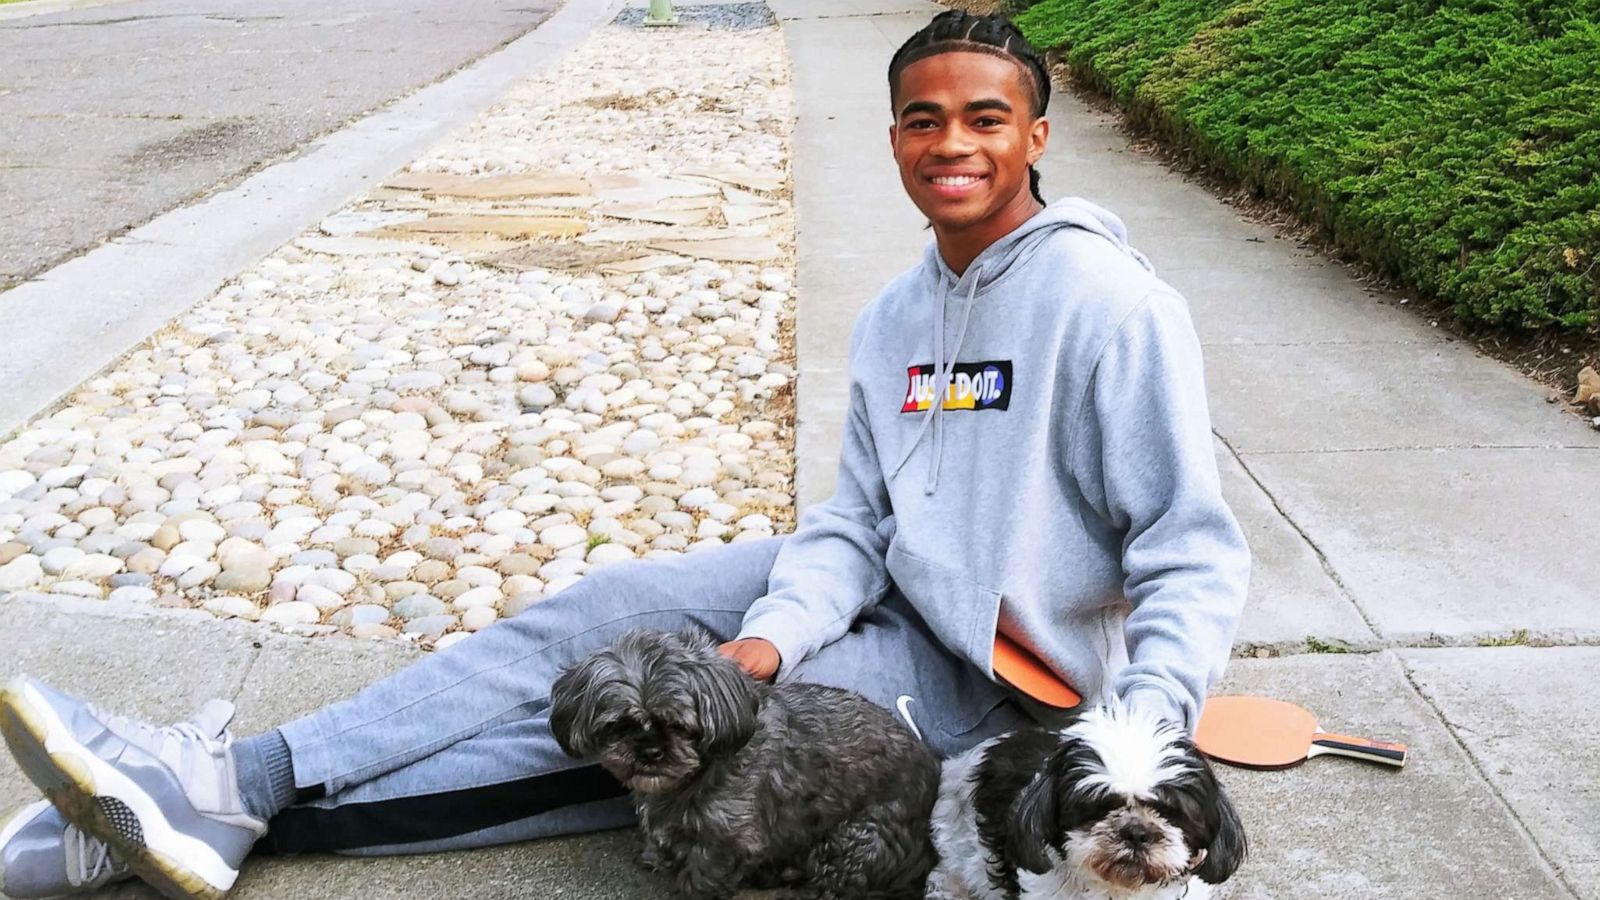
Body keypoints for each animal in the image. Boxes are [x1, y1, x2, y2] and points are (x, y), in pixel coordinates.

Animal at [550, 624, 934, 896]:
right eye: (619, 725)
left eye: (678, 725)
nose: (651, 752)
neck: (695, 775)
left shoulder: (726, 839)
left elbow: (702, 877)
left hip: (855, 838)